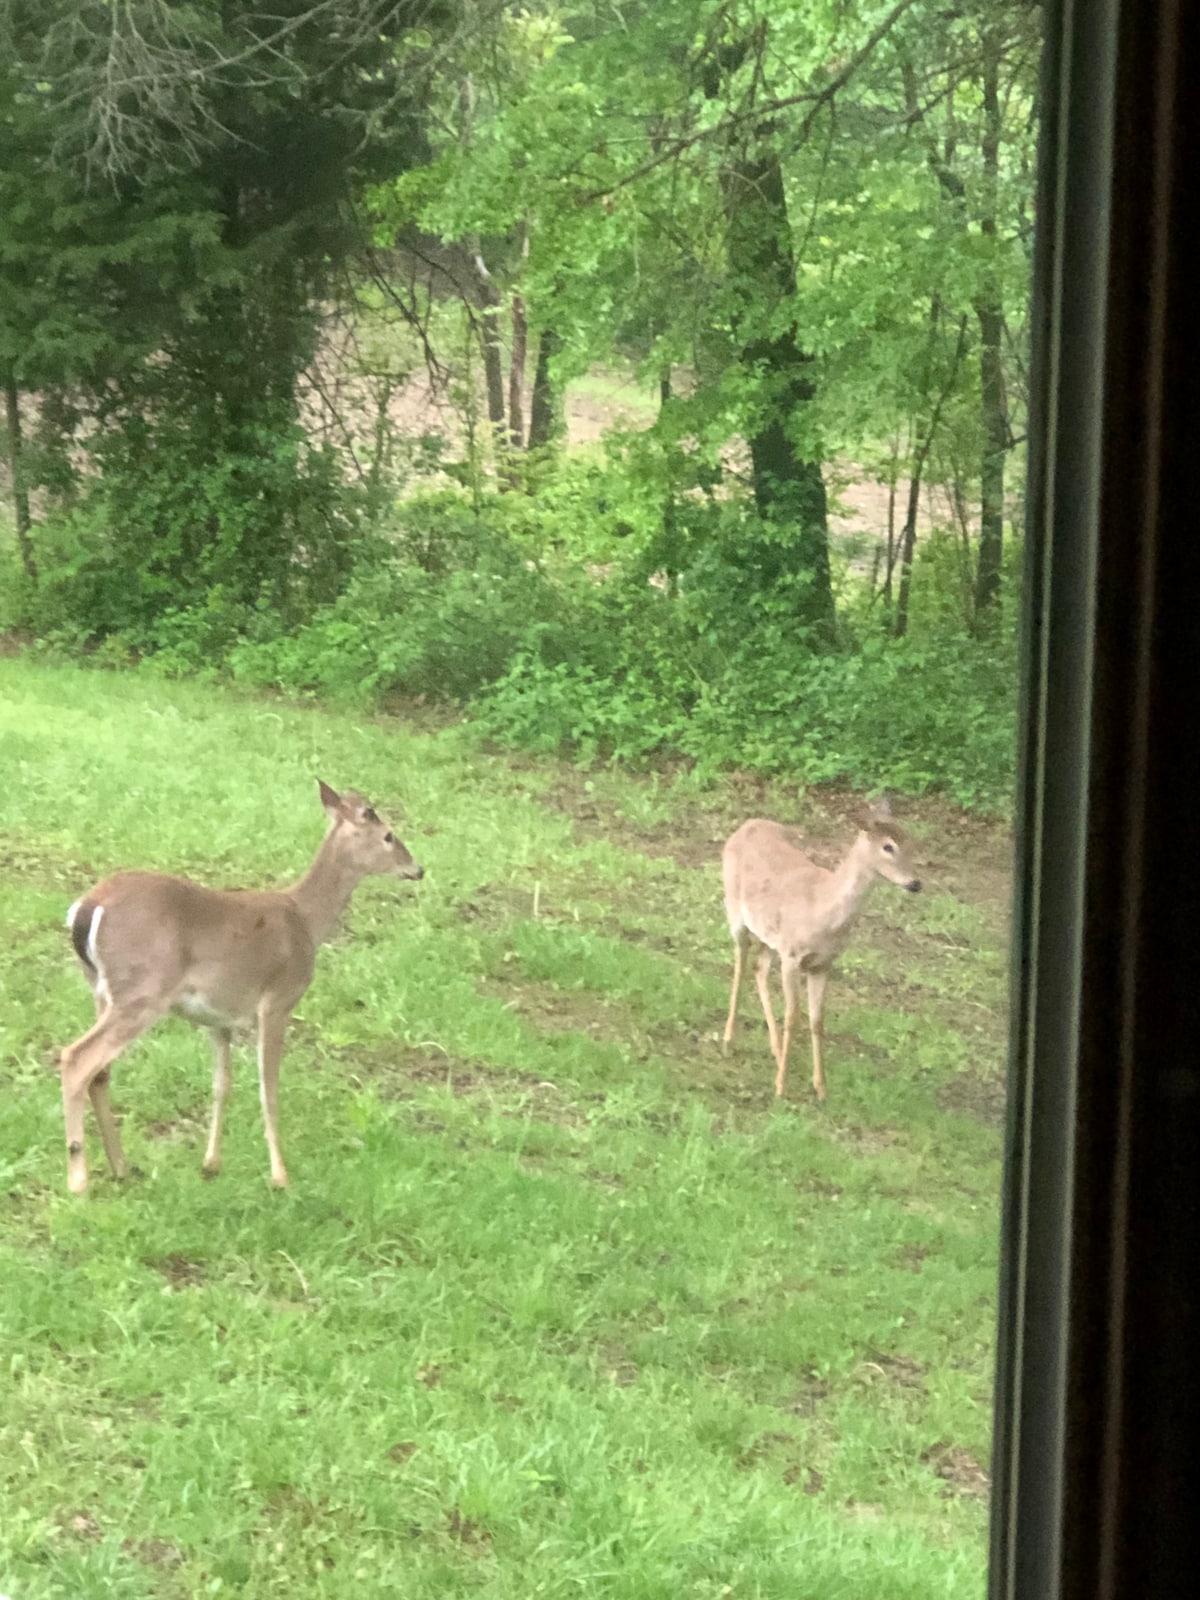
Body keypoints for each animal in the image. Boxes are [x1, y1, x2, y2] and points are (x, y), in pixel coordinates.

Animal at [57, 780, 422, 1196]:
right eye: (388, 835)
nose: (418, 868)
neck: (305, 920)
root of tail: (86, 909)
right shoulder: (278, 1000)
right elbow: (269, 1089)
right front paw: (280, 1178)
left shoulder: (218, 1018)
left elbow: (222, 1084)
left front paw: (211, 1164)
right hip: (143, 990)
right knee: (77, 1059)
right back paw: (78, 1181)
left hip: (101, 989)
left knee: (99, 1072)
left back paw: (121, 1167)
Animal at [720, 796, 928, 1100]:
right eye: (888, 846)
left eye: (910, 840)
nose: (915, 883)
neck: (823, 910)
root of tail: (745, 825)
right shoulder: (792, 956)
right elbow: (793, 1016)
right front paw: (781, 1087)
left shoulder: (822, 963)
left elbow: (817, 1020)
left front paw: (821, 1088)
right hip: (735, 910)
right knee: (740, 964)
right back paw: (728, 1038)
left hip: (770, 935)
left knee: (759, 967)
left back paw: (775, 1049)